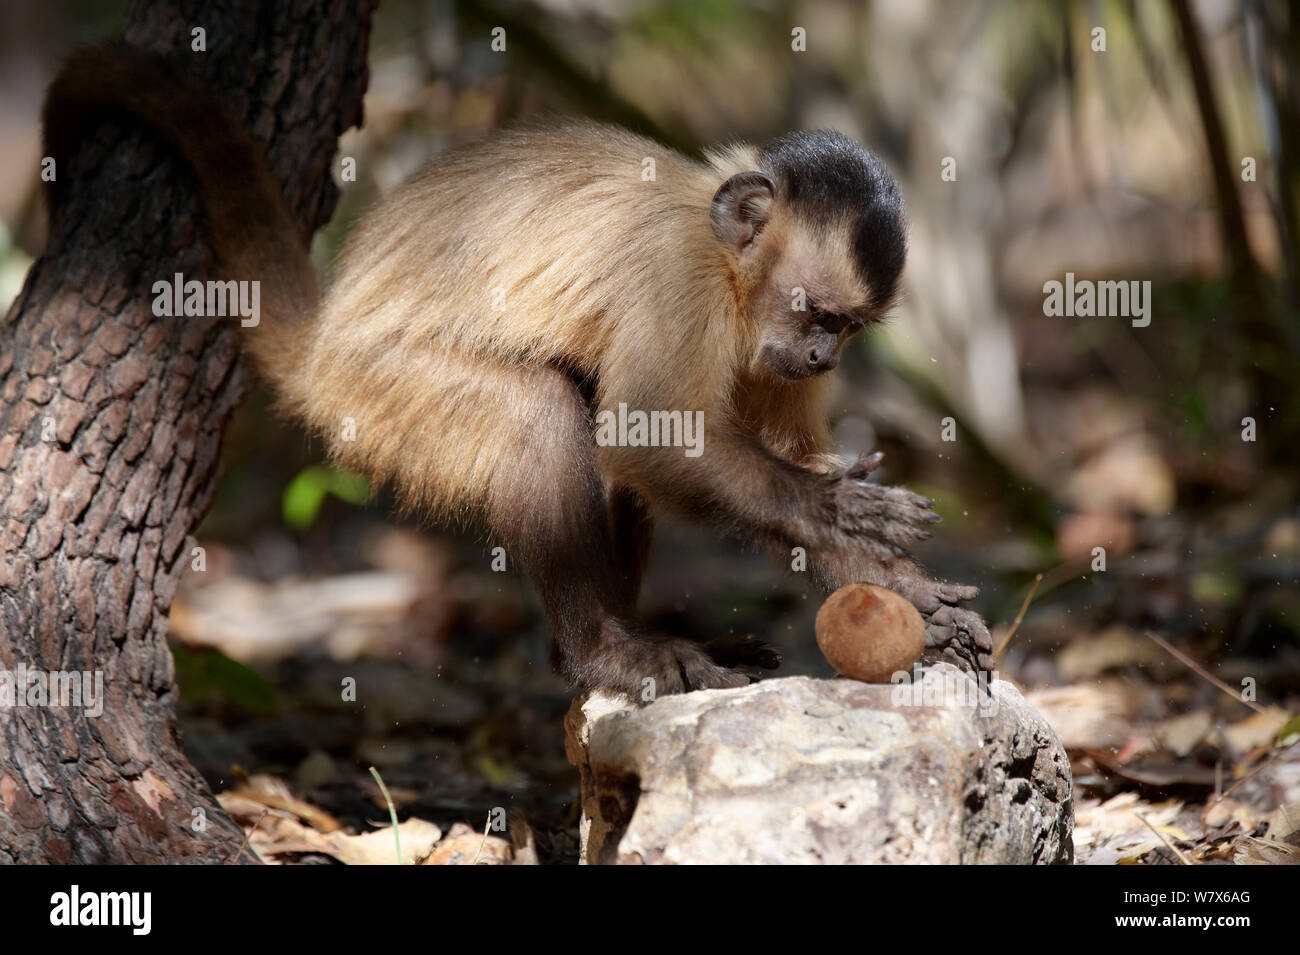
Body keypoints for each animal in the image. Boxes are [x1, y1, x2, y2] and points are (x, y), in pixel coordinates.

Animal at [43, 44, 993, 696]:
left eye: (851, 330)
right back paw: (605, 651)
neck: (730, 264)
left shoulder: (762, 349)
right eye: (819, 315)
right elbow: (646, 436)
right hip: (373, 392)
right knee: (542, 408)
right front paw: (838, 510)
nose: (825, 356)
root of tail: (324, 342)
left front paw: (890, 586)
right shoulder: (680, 278)